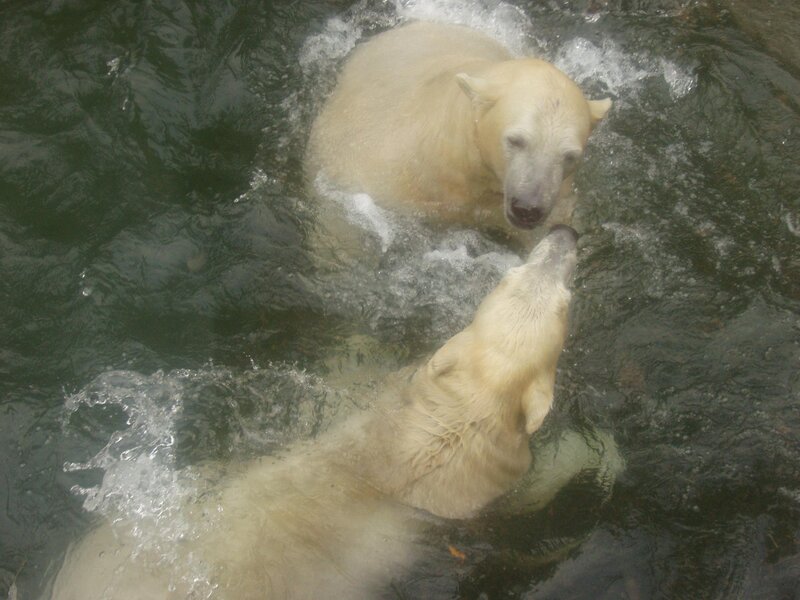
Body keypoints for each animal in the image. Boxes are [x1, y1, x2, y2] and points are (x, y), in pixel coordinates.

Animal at [47, 225, 579, 600]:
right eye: (564, 303)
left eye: (514, 276)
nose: (565, 234)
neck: (452, 417)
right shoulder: (488, 479)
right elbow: (534, 483)